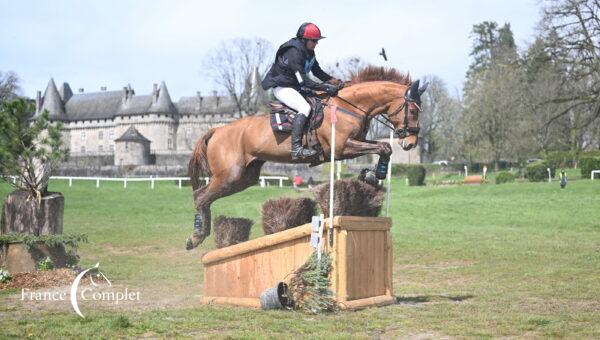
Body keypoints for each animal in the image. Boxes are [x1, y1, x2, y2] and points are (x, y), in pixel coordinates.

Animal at [185, 65, 424, 250]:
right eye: (413, 111)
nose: (411, 143)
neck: (348, 107)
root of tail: (217, 130)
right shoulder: (341, 148)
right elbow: (384, 147)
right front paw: (374, 175)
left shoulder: (353, 145)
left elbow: (384, 147)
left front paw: (371, 175)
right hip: (230, 175)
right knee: (200, 196)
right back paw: (195, 237)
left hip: (244, 178)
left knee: (204, 196)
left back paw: (199, 235)